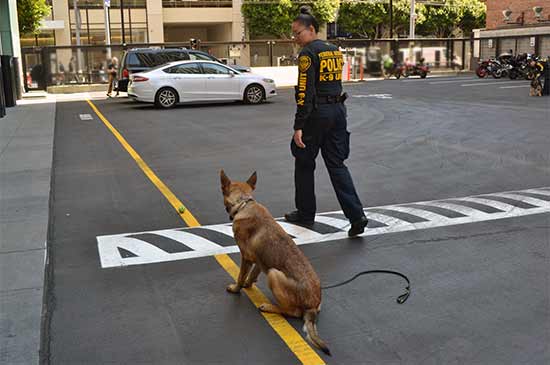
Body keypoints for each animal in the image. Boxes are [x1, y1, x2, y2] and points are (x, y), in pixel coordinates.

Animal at [221, 169, 332, 354]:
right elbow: (252, 274)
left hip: (273, 274)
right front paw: (249, 284)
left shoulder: (246, 257)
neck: (244, 203)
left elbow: (241, 276)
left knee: (292, 312)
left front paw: (236, 288)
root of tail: (313, 304)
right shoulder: (259, 261)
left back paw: (269, 307)